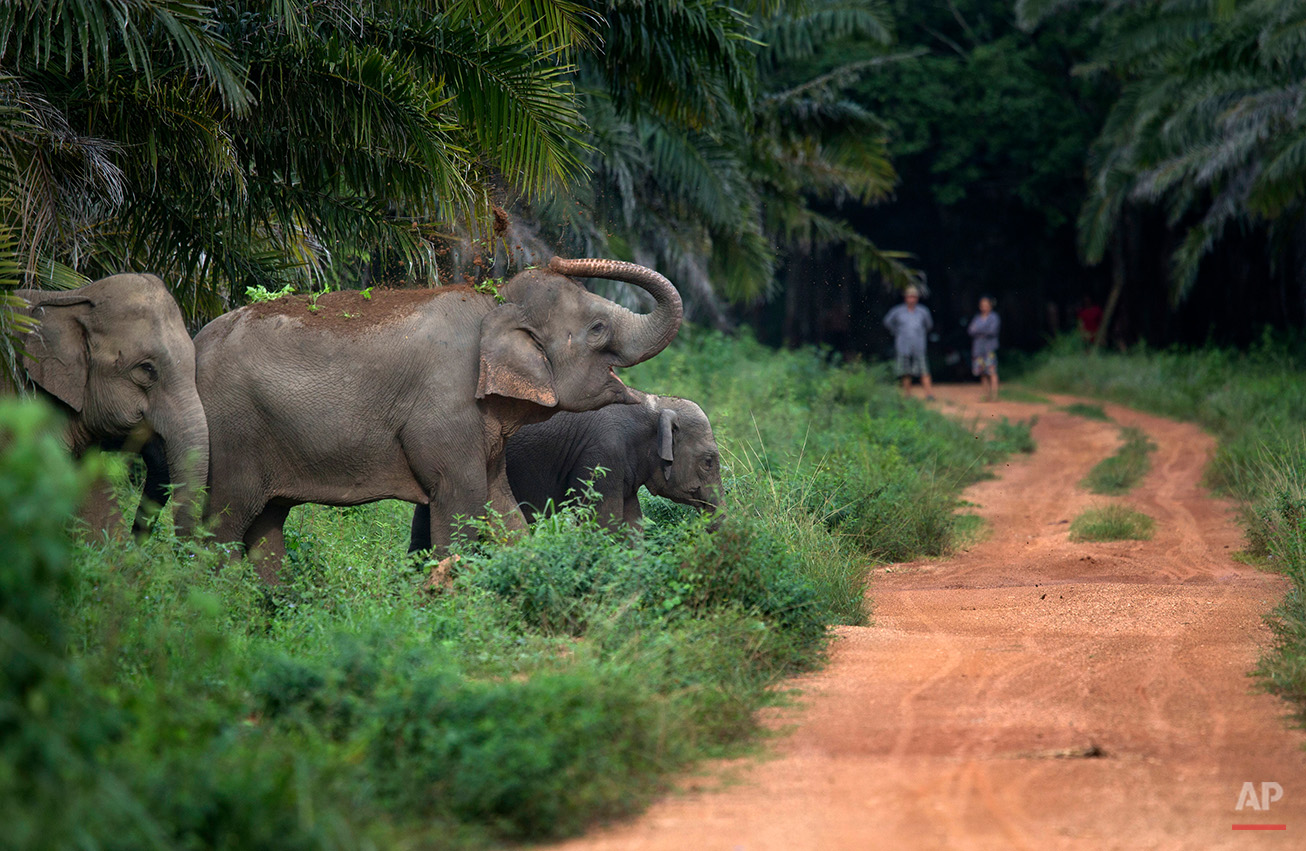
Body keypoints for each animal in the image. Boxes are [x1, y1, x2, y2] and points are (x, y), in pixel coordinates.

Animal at [197, 257, 684, 579]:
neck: (494, 306)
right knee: (222, 523)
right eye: (598, 329)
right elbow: (461, 502)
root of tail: (196, 342)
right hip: (231, 433)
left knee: (267, 524)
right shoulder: (447, 409)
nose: (557, 257)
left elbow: (501, 506)